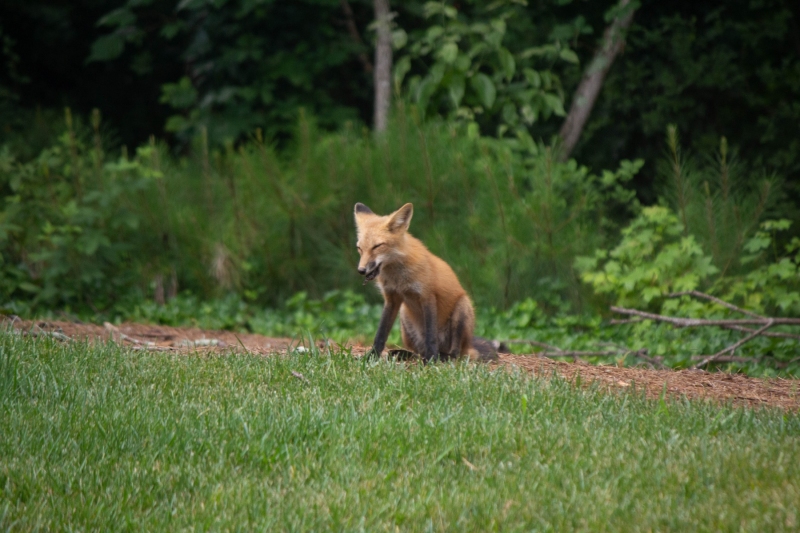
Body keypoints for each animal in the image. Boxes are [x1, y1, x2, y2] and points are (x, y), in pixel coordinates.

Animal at [354, 202, 497, 363]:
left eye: (377, 246)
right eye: (359, 248)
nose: (361, 270)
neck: (398, 278)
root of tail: (469, 346)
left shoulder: (427, 296)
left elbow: (431, 336)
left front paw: (431, 360)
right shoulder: (391, 299)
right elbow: (380, 334)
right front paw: (371, 356)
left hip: (462, 308)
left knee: (455, 353)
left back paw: (442, 357)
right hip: (404, 315)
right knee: (418, 351)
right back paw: (407, 355)